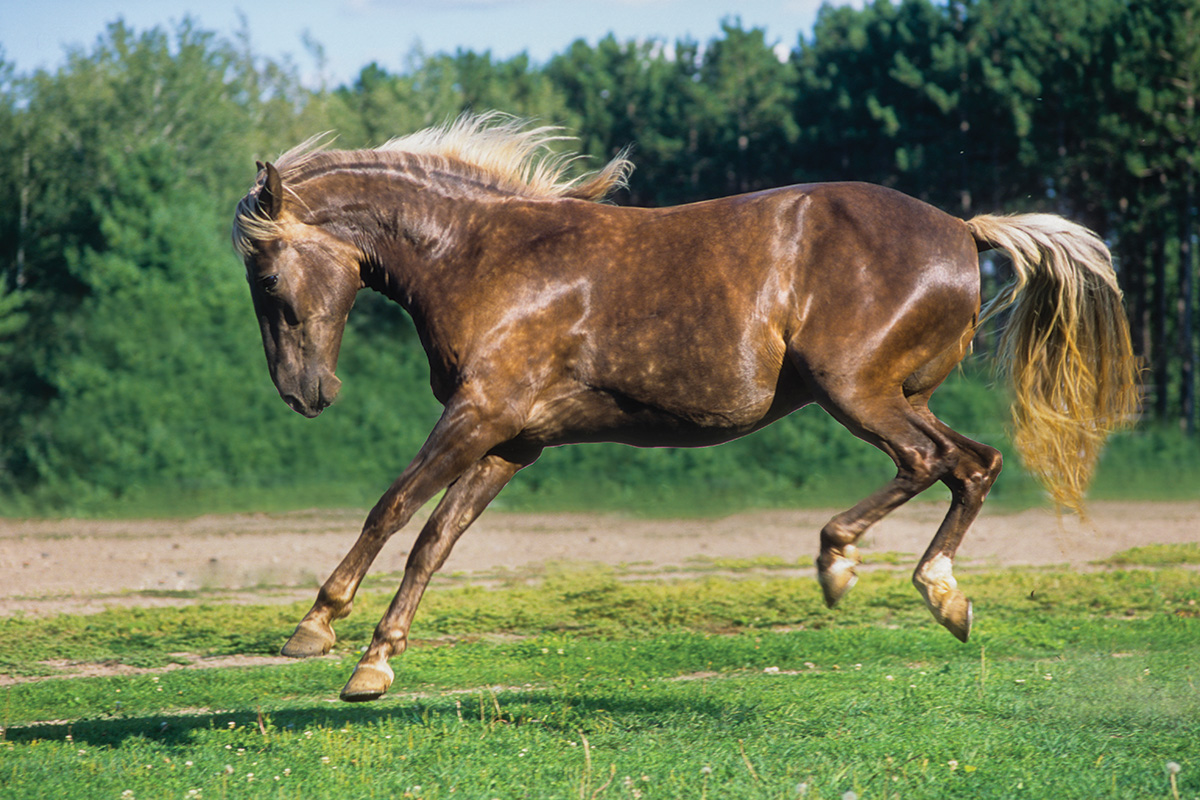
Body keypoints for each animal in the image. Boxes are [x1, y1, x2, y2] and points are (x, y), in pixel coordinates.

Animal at [233, 113, 1138, 702]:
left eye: (268, 278)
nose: (304, 394)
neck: (486, 256)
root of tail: (964, 229)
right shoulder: (509, 442)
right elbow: (434, 543)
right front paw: (375, 666)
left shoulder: (479, 415)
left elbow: (390, 510)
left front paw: (315, 626)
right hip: (897, 393)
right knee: (974, 464)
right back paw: (943, 595)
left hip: (855, 390)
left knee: (932, 461)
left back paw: (842, 562)